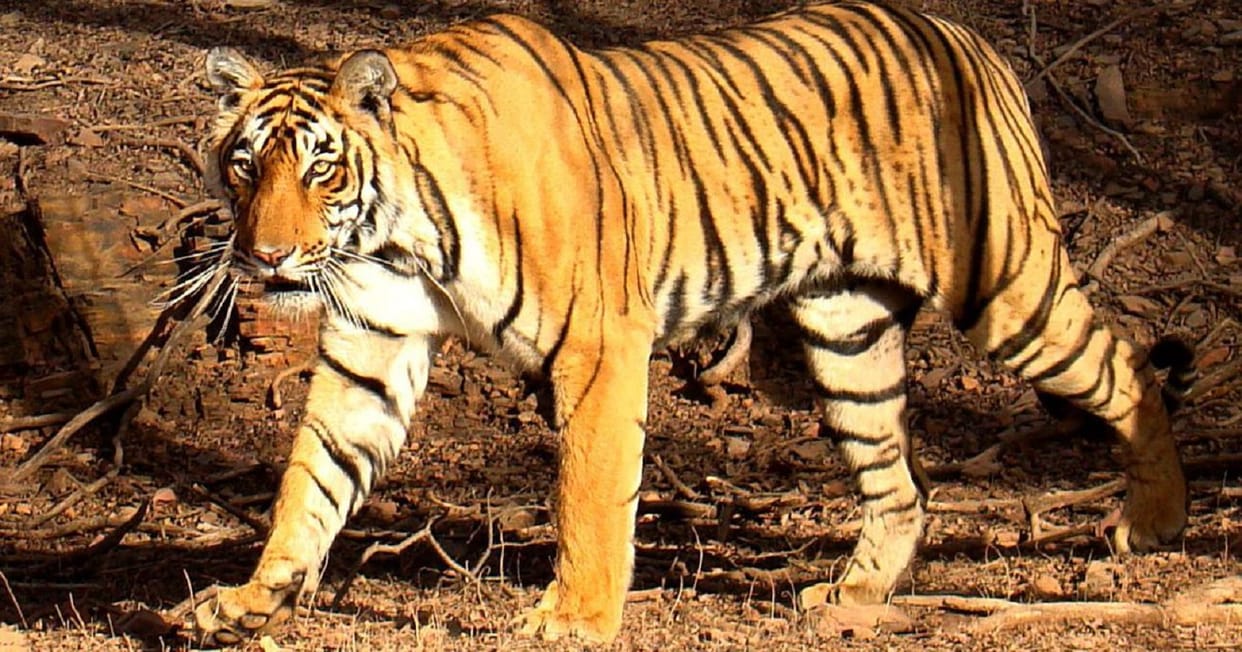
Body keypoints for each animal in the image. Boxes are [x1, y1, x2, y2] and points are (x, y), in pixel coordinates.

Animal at [188, 1, 1195, 645]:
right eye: (245, 164)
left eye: (319, 168)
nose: (266, 257)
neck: (396, 237)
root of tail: (968, 37)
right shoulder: (373, 343)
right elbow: (311, 480)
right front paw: (252, 598)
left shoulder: (597, 345)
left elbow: (589, 491)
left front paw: (575, 619)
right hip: (848, 331)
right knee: (900, 485)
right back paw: (853, 594)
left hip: (1005, 284)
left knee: (1126, 369)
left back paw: (1157, 522)